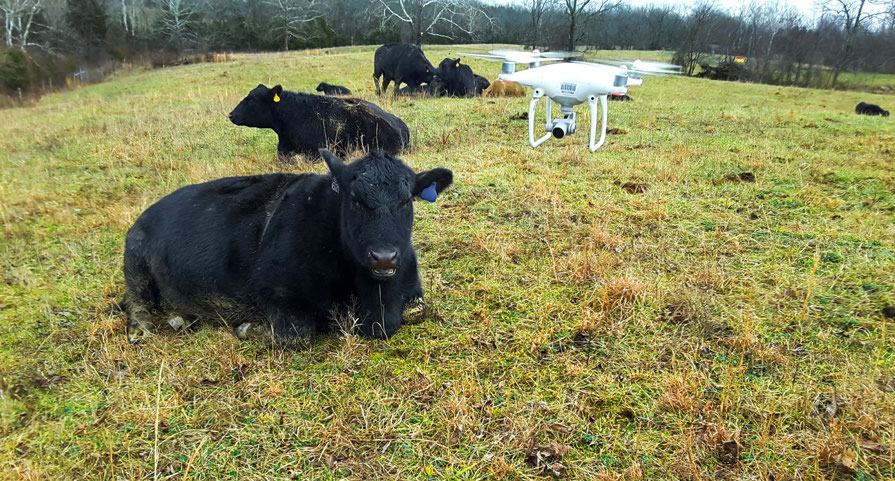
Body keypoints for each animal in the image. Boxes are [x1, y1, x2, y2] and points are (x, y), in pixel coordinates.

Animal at [123, 149, 454, 345]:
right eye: (354, 199)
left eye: (406, 200)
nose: (383, 257)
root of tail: (147, 212)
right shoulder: (275, 291)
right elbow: (297, 334)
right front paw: (250, 329)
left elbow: (418, 309)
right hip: (135, 263)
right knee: (134, 302)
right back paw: (142, 327)